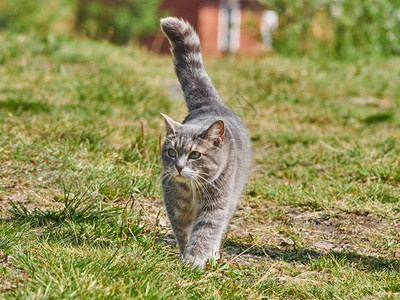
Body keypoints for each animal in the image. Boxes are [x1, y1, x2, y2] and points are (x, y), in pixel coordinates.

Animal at [159, 17, 250, 268]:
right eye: (171, 152)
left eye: (195, 155)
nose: (179, 166)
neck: (192, 190)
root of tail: (210, 104)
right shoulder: (176, 205)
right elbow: (183, 233)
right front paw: (185, 256)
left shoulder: (216, 205)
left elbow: (205, 233)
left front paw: (194, 262)